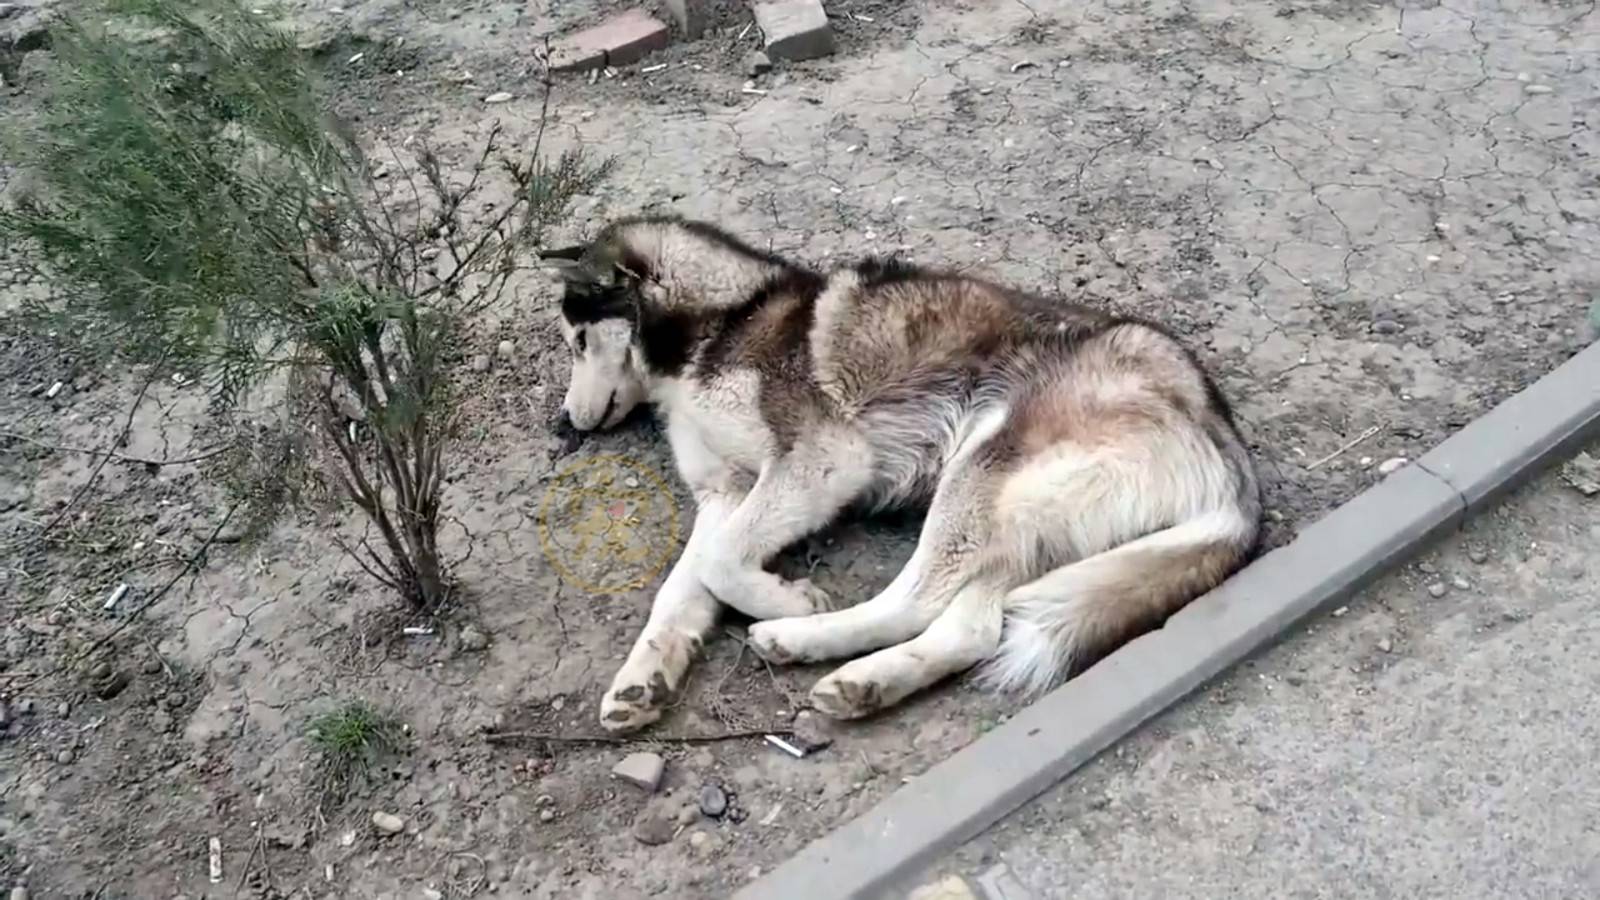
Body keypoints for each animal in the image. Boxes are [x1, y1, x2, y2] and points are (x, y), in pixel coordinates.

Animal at [540, 216, 1260, 730]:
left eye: (578, 340)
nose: (566, 422)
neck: (725, 319)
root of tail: (1229, 451)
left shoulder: (824, 460)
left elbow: (722, 564)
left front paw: (789, 599)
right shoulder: (725, 493)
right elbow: (683, 588)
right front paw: (644, 679)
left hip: (981, 467)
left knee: (915, 600)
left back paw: (796, 636)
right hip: (1018, 528)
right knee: (972, 628)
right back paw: (865, 683)